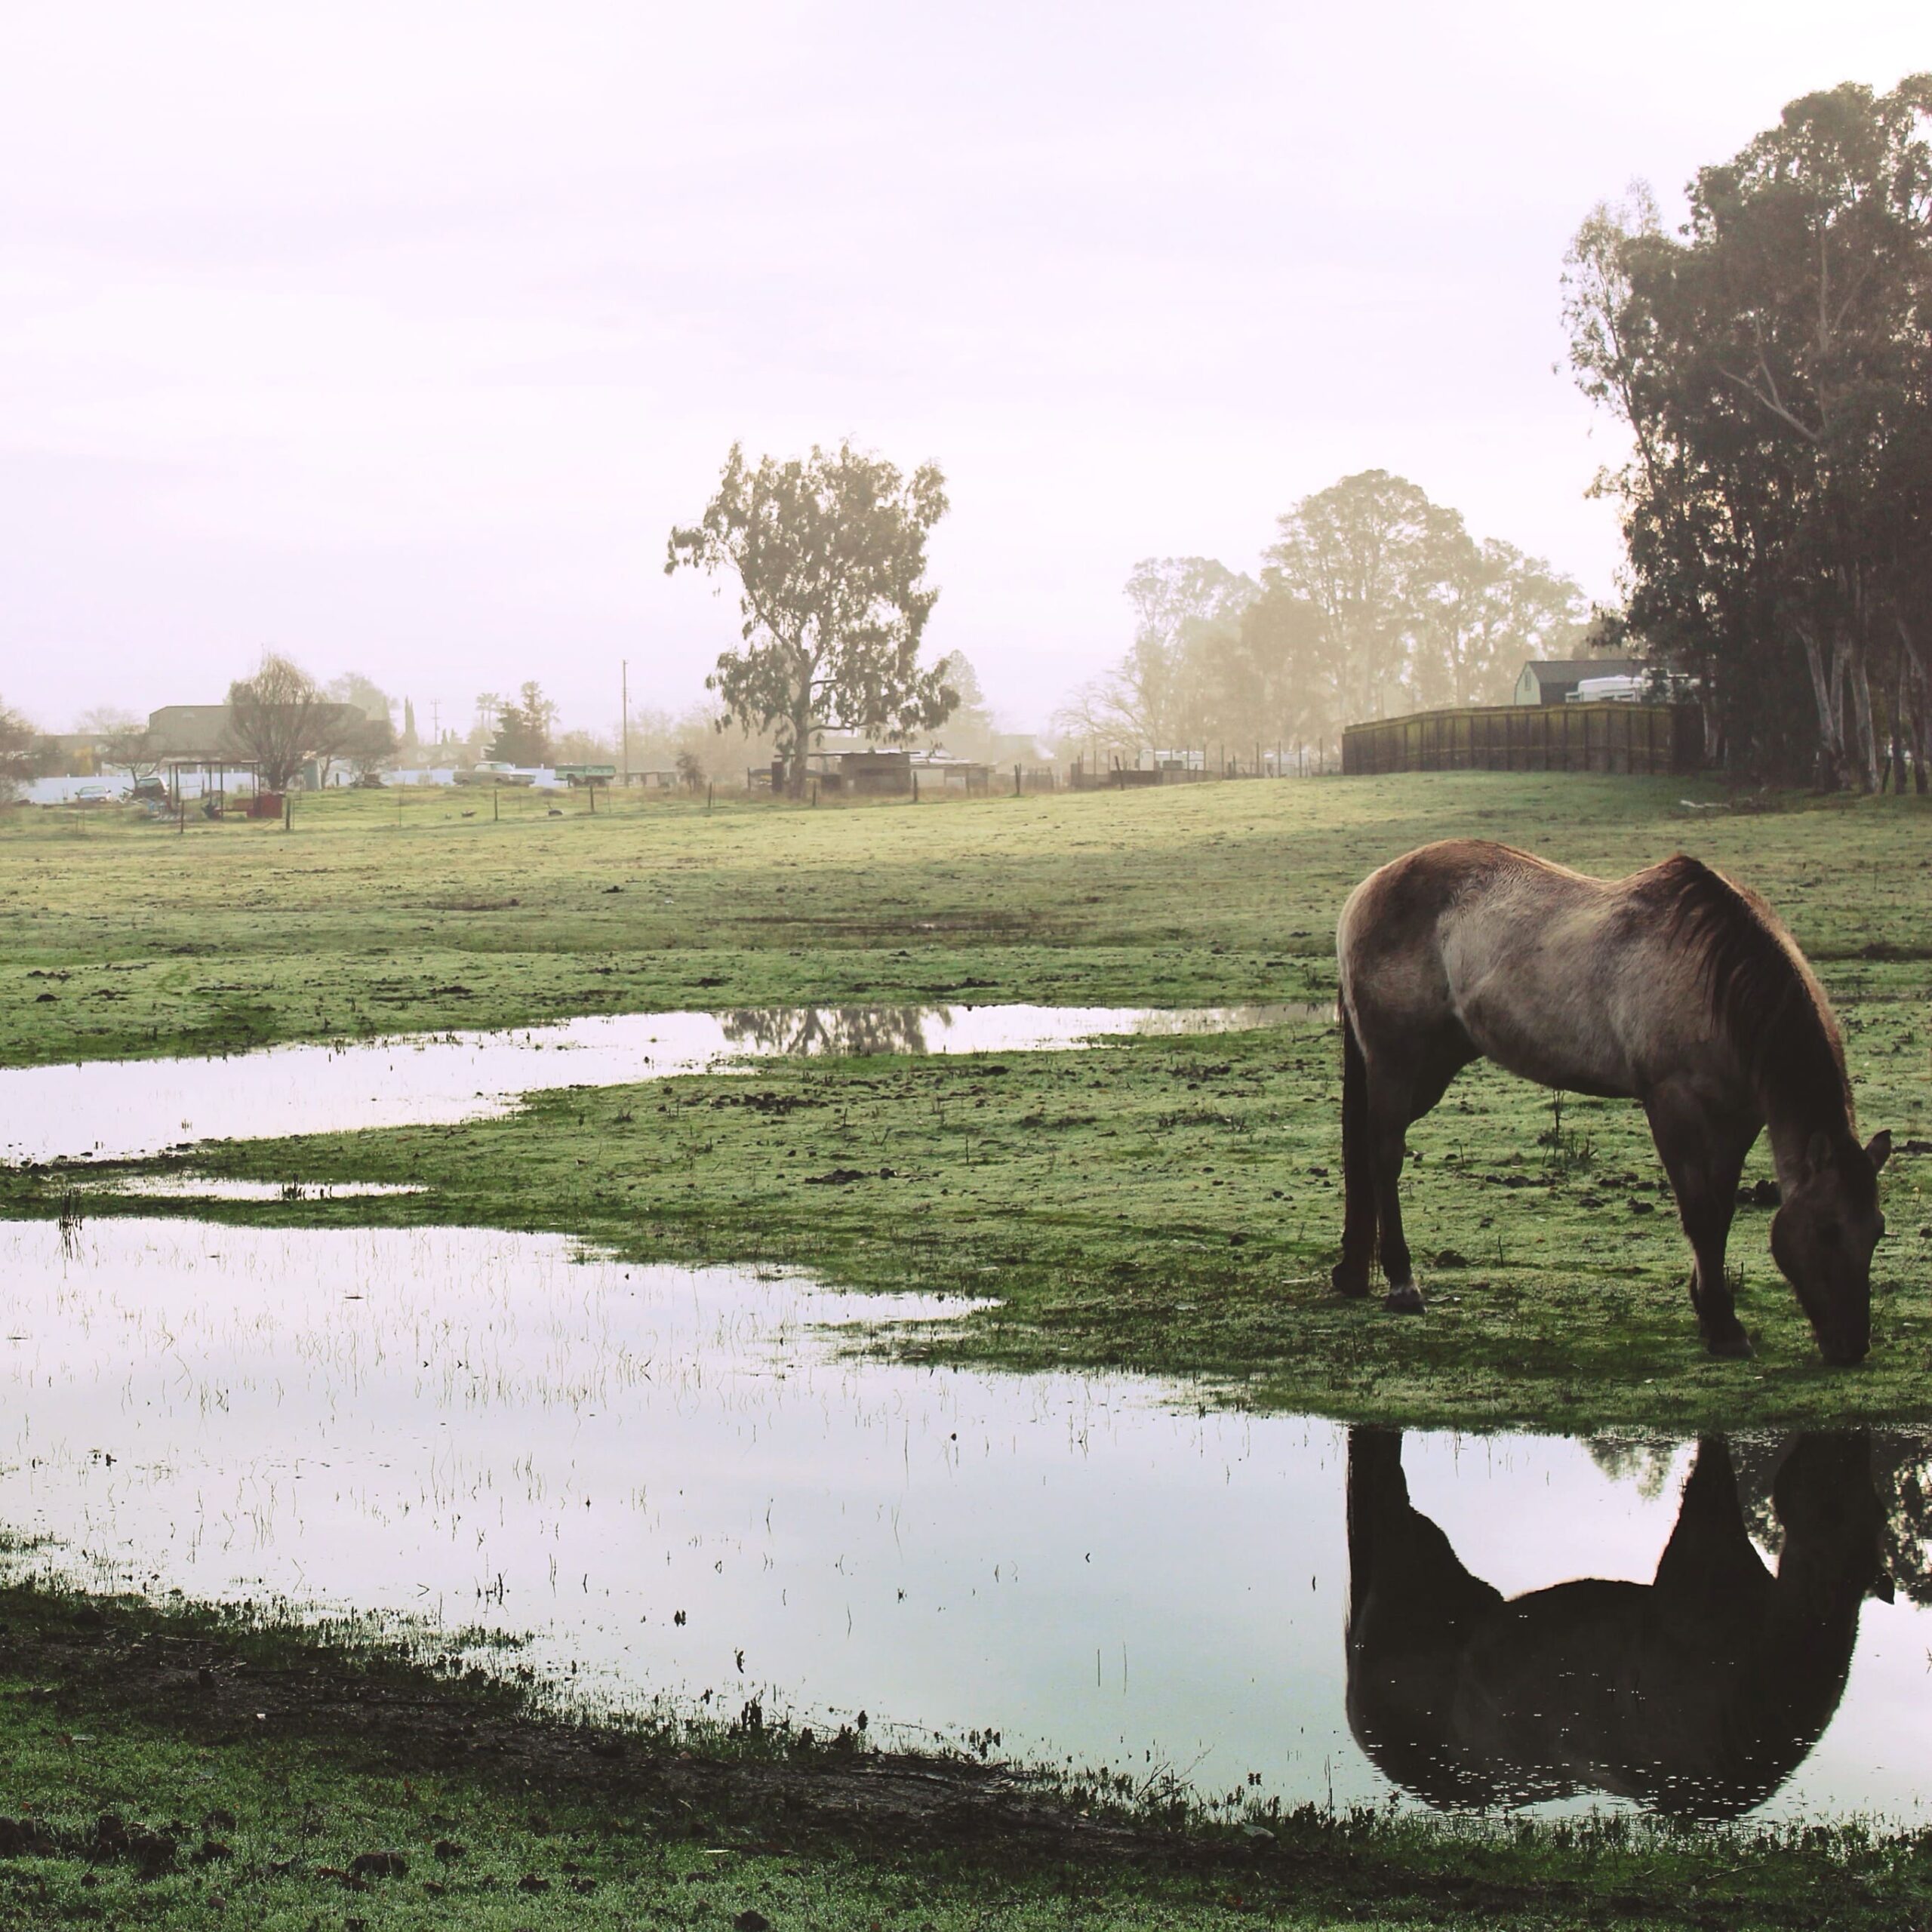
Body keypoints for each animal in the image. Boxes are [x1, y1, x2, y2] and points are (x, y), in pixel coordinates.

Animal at [1332, 840, 1889, 1363]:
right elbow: (1701, 1214)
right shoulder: (1672, 1104)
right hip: (1398, 1062)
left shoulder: (1737, 1120)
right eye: (1827, 1230)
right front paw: (1724, 1327)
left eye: (1877, 1231)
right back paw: (1402, 1283)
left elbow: (1722, 1212)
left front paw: (1710, 1309)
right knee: (1384, 1154)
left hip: (1436, 1064)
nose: (1852, 1347)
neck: (1713, 982)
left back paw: (1353, 1272)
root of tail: (1367, 890)